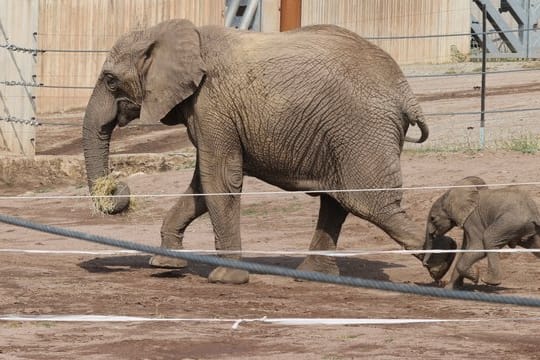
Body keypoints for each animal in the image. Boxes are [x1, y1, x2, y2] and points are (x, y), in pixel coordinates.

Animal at [82, 19, 456, 284]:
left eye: (110, 80)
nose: (117, 189)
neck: (171, 33)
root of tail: (407, 95)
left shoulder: (212, 104)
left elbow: (219, 179)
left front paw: (225, 279)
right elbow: (202, 184)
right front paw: (164, 265)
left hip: (361, 129)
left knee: (369, 203)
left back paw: (444, 262)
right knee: (338, 201)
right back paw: (313, 276)